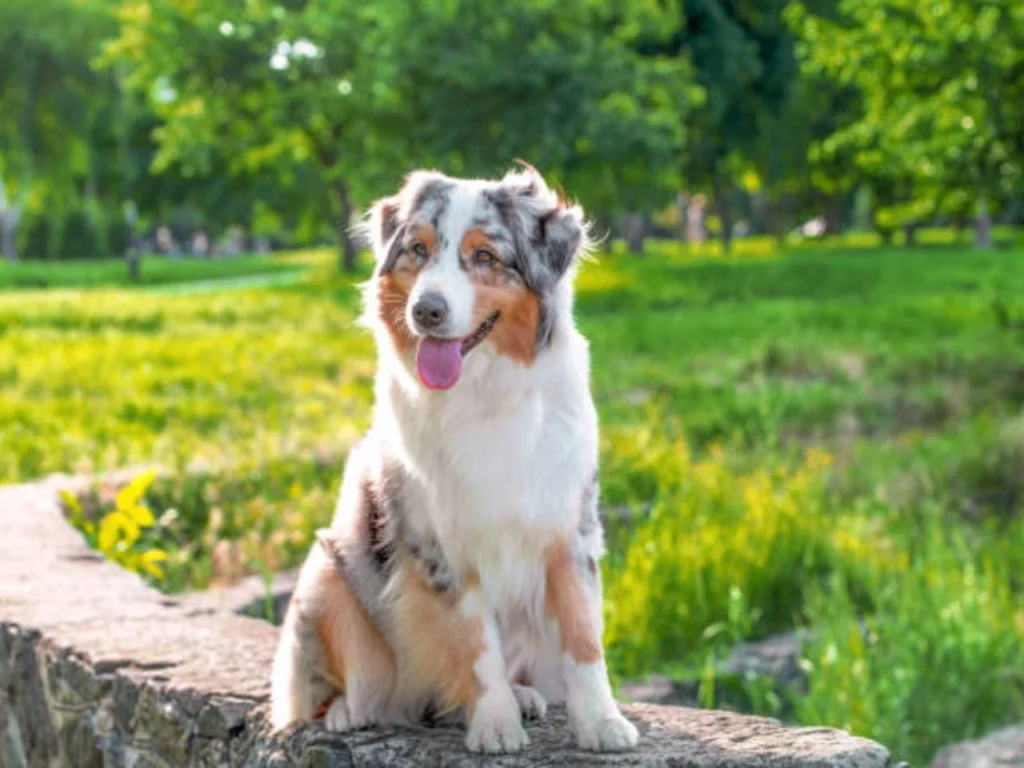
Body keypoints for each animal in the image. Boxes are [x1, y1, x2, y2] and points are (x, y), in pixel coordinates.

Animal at [272, 165, 638, 753]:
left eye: (485, 256)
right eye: (417, 250)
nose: (427, 310)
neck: (484, 393)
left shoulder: (569, 525)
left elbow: (584, 635)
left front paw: (602, 723)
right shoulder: (441, 544)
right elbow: (475, 646)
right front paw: (495, 726)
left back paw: (524, 695)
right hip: (326, 571)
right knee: (336, 688)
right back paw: (349, 711)